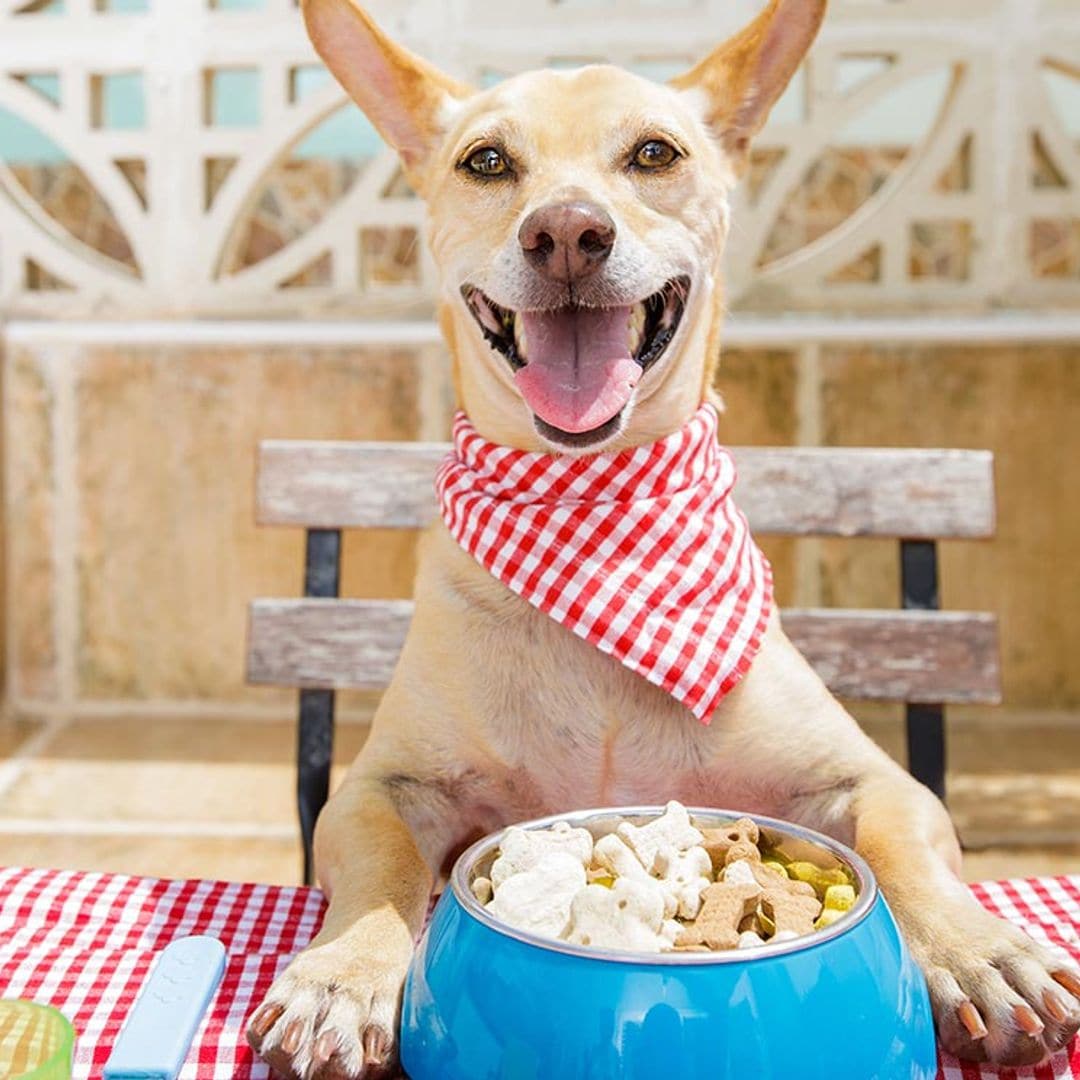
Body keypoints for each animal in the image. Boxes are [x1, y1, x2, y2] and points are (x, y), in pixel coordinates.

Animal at [248, 4, 1080, 1075]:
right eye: (486, 161)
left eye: (654, 153)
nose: (566, 233)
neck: (597, 517)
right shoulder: (376, 790)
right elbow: (385, 868)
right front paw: (344, 974)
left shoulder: (877, 782)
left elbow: (901, 848)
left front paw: (978, 951)